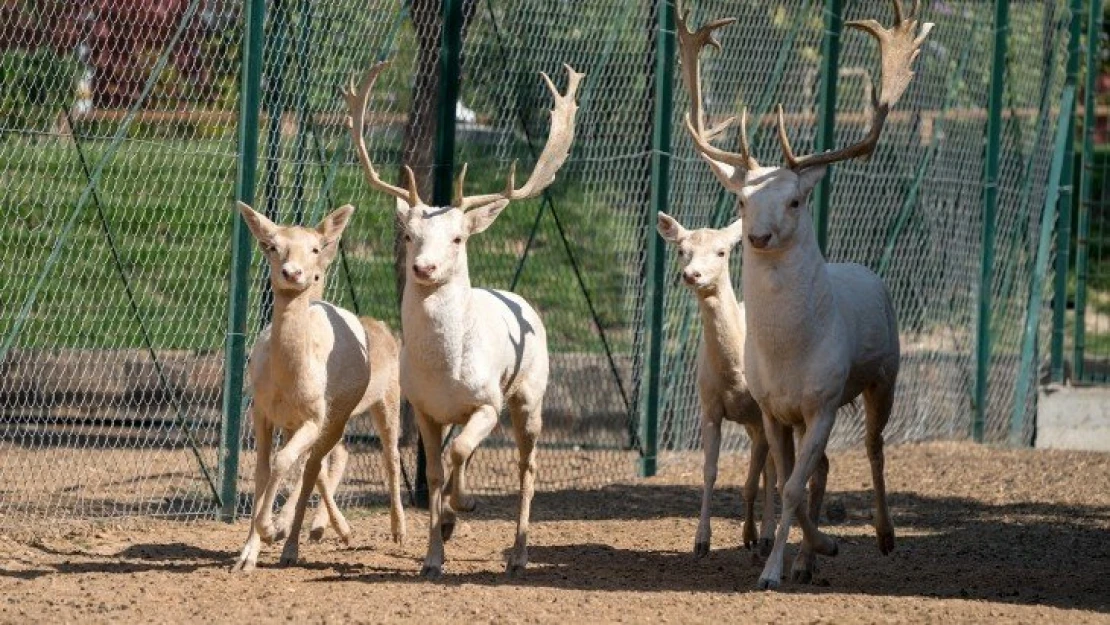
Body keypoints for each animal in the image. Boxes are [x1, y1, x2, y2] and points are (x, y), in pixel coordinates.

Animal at [231, 204, 406, 572]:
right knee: (318, 462)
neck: (287, 381)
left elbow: (283, 462)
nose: (292, 273)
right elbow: (262, 471)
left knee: (374, 456)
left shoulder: (315, 415)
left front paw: (270, 530)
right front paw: (246, 555)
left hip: (357, 408)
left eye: (314, 248)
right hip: (300, 422)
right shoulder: (261, 411)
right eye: (272, 245)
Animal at [339, 61, 581, 581]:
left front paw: (463, 506)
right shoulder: (425, 408)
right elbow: (434, 471)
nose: (423, 267)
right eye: (409, 235)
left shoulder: (488, 400)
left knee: (526, 466)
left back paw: (518, 554)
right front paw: (434, 553)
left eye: (457, 238)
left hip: (529, 394)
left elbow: (459, 455)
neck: (446, 370)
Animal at [652, 214, 777, 557]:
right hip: (751, 423)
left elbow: (754, 479)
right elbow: (710, 471)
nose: (691, 275)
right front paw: (702, 542)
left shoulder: (763, 412)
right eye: (682, 250)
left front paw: (760, 538)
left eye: (722, 251)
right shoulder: (709, 407)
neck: (735, 375)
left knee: (775, 469)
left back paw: (767, 536)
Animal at [674, 0, 927, 590]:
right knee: (822, 468)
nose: (759, 236)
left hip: (885, 376)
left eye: (794, 201)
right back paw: (813, 559)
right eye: (742, 200)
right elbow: (788, 478)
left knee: (874, 448)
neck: (789, 355)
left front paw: (775, 570)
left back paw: (885, 536)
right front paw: (812, 548)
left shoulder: (825, 399)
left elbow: (791, 485)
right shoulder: (774, 409)